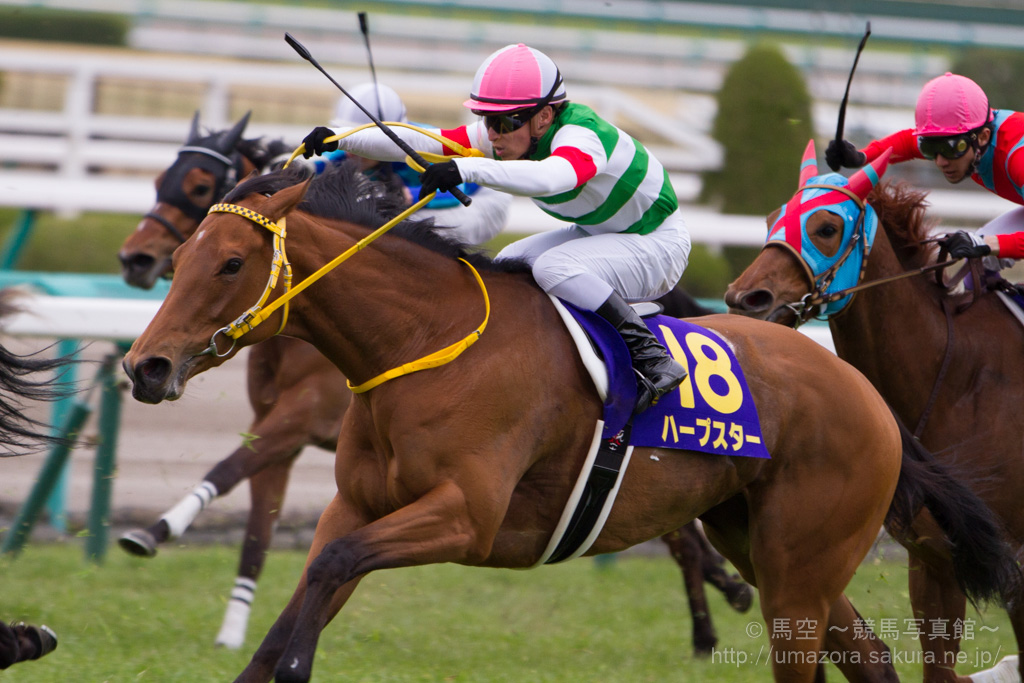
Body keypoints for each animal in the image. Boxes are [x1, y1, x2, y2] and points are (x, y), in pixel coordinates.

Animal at [116, 123, 753, 653]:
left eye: (229, 262)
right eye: (182, 254)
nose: (145, 366)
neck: (427, 333)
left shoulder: (305, 425)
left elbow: (227, 469)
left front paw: (152, 532)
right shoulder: (293, 442)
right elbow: (255, 527)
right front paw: (232, 627)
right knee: (678, 531)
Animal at [725, 141, 1024, 682]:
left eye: (826, 228)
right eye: (772, 219)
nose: (744, 298)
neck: (958, 378)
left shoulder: (1017, 563)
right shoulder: (934, 560)